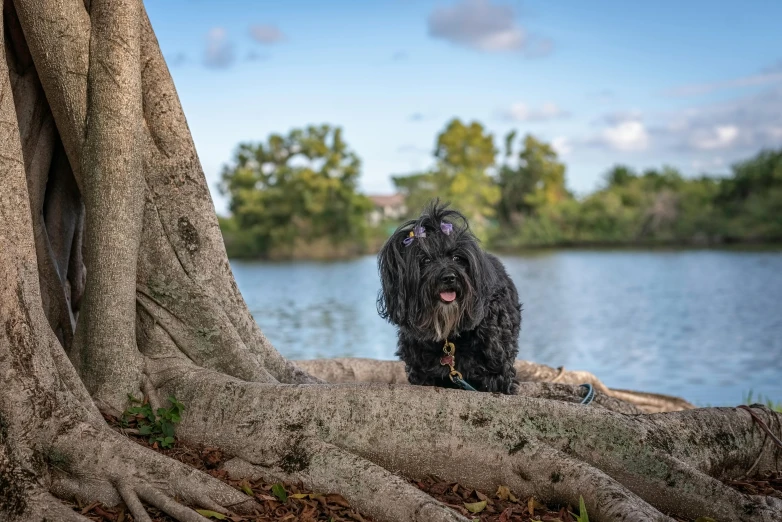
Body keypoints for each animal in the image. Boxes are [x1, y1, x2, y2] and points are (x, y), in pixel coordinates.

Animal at [378, 201, 520, 392]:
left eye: (457, 258)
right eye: (425, 261)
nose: (449, 277)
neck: (448, 334)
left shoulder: (497, 363)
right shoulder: (421, 369)